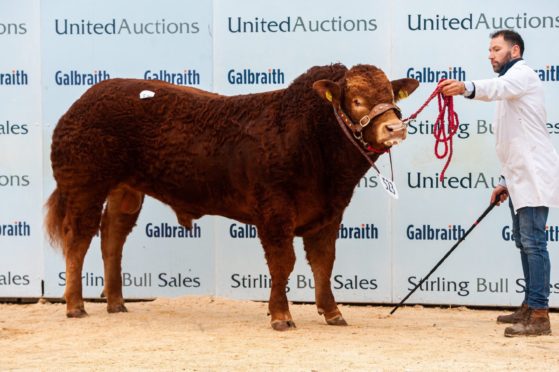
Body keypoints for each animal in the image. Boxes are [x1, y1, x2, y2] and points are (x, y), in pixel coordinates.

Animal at [46, 62, 418, 330]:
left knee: (112, 237)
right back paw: (75, 305)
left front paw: (333, 312)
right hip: (84, 184)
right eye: (356, 100)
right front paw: (281, 316)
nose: (395, 128)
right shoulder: (274, 211)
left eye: (391, 95)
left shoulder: (329, 213)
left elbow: (324, 263)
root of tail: (86, 99)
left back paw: (116, 302)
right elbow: (283, 262)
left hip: (126, 191)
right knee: (78, 238)